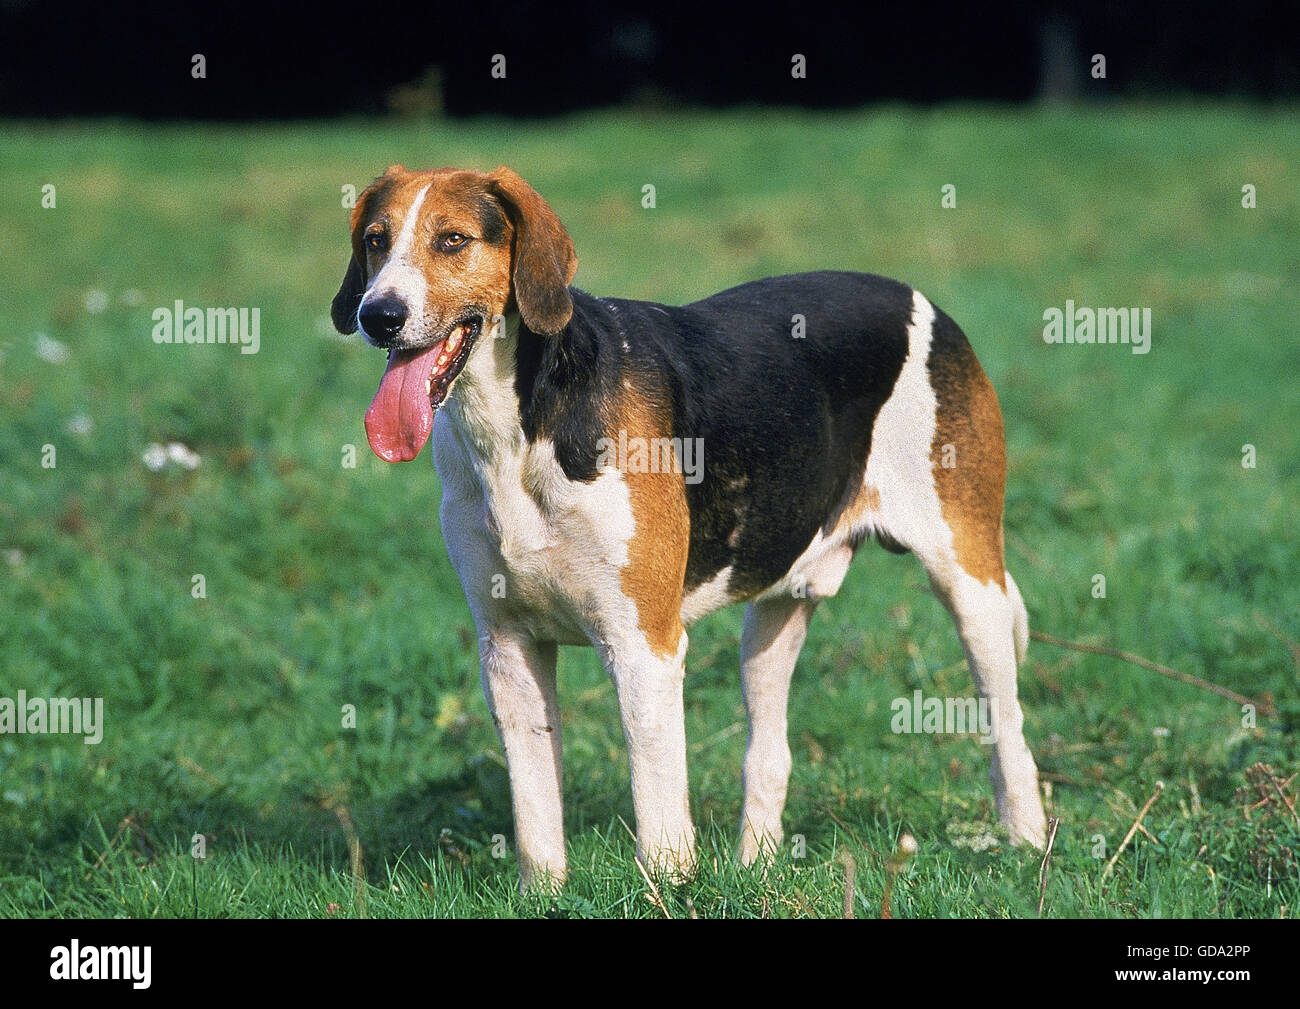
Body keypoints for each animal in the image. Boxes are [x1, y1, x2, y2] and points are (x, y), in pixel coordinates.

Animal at [330, 163, 1050, 884]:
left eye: (452, 240)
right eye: (374, 240)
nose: (378, 315)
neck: (515, 432)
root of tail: (924, 302)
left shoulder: (643, 645)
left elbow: (657, 802)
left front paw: (669, 888)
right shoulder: (507, 649)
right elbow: (535, 810)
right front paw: (545, 893)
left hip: (970, 585)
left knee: (1009, 725)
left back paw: (1026, 840)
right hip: (773, 616)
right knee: (769, 752)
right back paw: (757, 865)